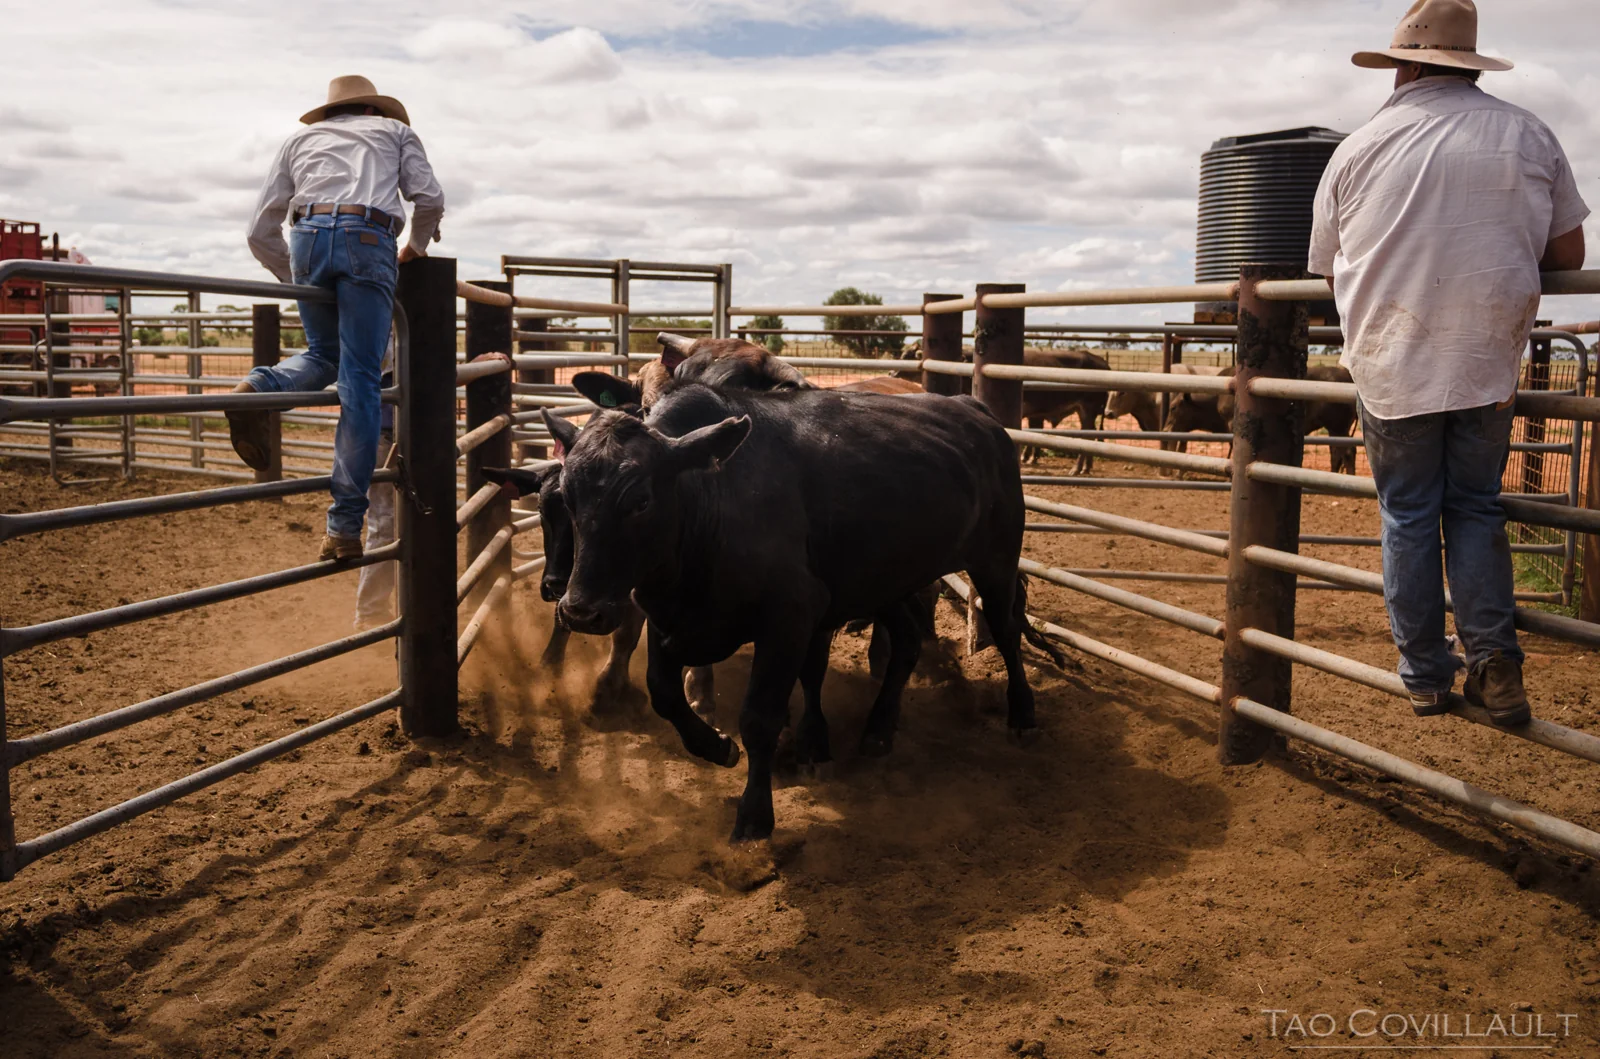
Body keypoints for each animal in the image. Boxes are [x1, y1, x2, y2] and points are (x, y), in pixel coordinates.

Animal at [541, 351, 1056, 842]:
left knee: (1006, 629)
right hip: (884, 578)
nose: (579, 611)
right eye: (567, 496)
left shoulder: (788, 619)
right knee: (908, 641)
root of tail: (976, 411)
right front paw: (716, 746)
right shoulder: (669, 619)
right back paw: (878, 730)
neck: (715, 499)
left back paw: (1022, 715)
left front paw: (755, 815)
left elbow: (761, 717)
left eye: (641, 501)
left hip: (996, 558)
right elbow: (664, 693)